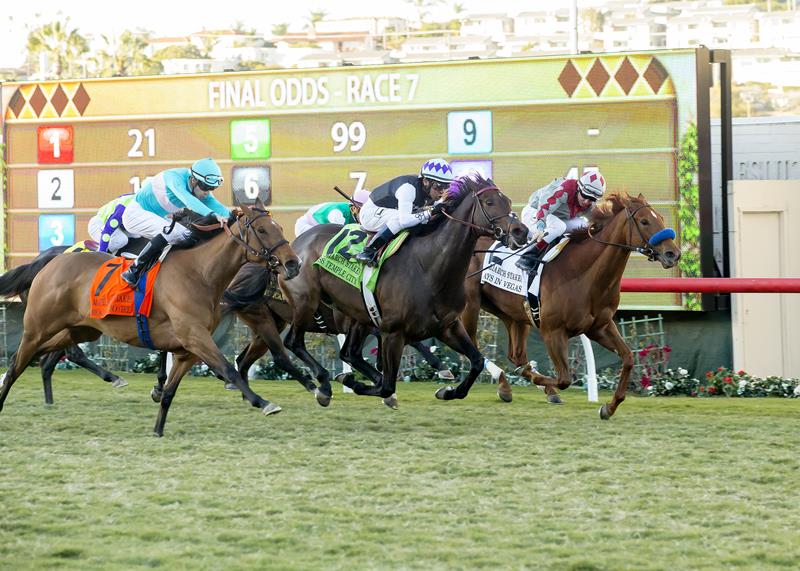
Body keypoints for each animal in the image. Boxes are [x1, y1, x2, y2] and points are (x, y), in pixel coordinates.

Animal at [0, 207, 300, 438]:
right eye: (262, 230)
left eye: (278, 227)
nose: (293, 263)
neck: (199, 273)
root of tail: (47, 263)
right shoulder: (195, 336)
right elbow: (229, 370)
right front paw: (262, 402)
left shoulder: (188, 348)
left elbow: (169, 391)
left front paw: (157, 429)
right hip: (39, 327)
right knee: (16, 362)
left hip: (79, 330)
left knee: (44, 356)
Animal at [278, 174, 528, 402]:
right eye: (489, 202)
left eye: (507, 200)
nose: (521, 231)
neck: (429, 267)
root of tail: (296, 243)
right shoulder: (393, 332)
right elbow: (388, 386)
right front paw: (359, 383)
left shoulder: (448, 326)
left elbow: (476, 361)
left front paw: (449, 391)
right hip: (306, 302)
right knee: (293, 342)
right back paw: (323, 383)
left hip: (358, 315)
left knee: (350, 353)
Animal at [460, 193, 680, 420]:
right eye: (644, 221)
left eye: (660, 218)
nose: (673, 254)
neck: (583, 274)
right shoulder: (552, 331)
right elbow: (564, 379)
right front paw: (534, 378)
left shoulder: (599, 327)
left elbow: (628, 358)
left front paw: (609, 407)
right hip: (471, 305)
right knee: (474, 347)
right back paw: (506, 382)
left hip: (513, 314)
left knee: (515, 354)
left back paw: (525, 387)